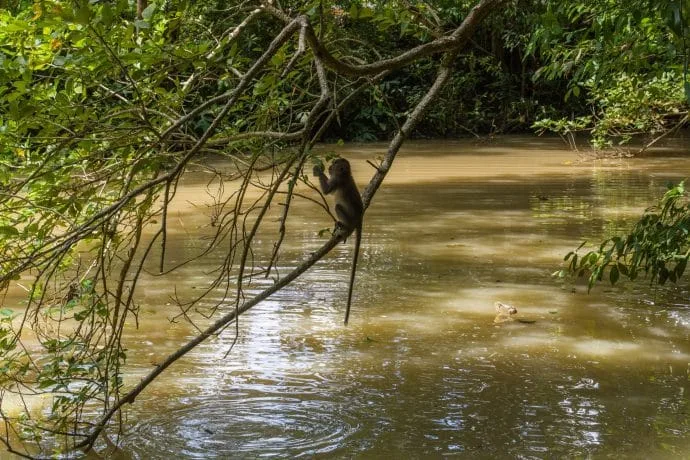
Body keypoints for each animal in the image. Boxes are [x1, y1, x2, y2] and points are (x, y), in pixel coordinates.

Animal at [313, 158, 364, 325]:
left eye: (334, 164)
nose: (329, 167)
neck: (346, 174)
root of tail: (359, 219)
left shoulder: (337, 180)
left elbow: (327, 191)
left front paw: (318, 170)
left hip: (350, 218)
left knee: (338, 207)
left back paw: (343, 226)